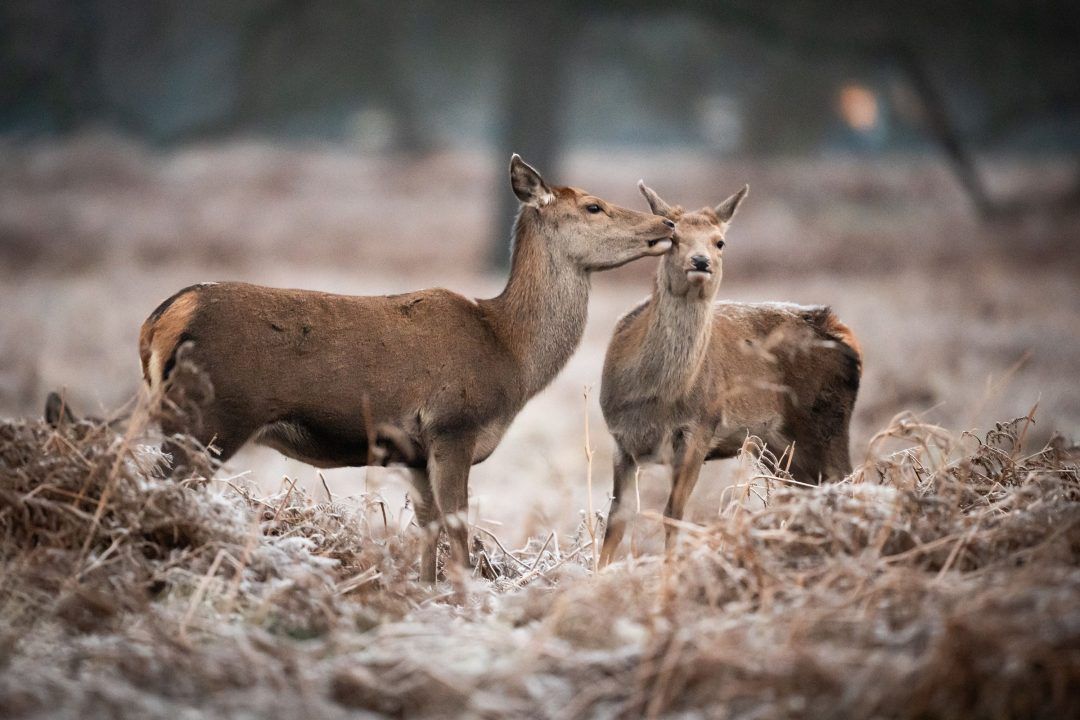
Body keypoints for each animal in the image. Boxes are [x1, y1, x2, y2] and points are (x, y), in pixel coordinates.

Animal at [126, 156, 673, 578]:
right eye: (593, 205)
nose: (667, 225)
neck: (510, 353)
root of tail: (160, 320)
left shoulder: (412, 452)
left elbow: (427, 529)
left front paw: (428, 592)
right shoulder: (453, 426)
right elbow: (458, 532)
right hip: (211, 417)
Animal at [600, 183, 859, 565]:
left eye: (719, 241)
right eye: (673, 236)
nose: (700, 261)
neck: (654, 400)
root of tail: (843, 333)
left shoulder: (700, 428)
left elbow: (673, 513)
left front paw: (670, 570)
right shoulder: (621, 441)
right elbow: (616, 522)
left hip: (830, 424)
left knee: (846, 482)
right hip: (777, 444)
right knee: (808, 490)